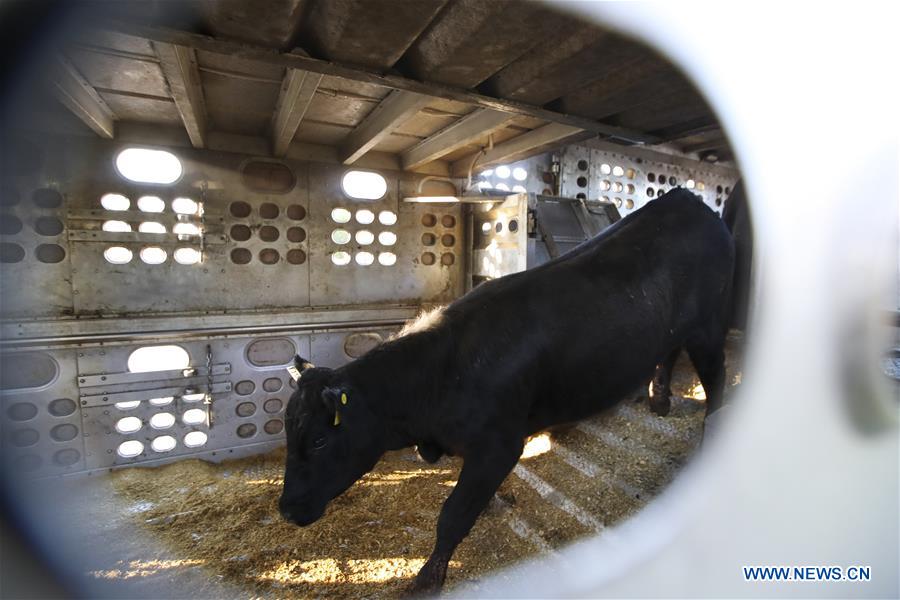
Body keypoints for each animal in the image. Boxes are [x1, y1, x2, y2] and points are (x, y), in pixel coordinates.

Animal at [278, 189, 734, 594]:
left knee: (717, 381)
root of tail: (684, 198)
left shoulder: (499, 444)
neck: (442, 374)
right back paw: (659, 402)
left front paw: (427, 580)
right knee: (669, 352)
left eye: (319, 440)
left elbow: (453, 514)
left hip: (710, 324)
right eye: (287, 432)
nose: (285, 509)